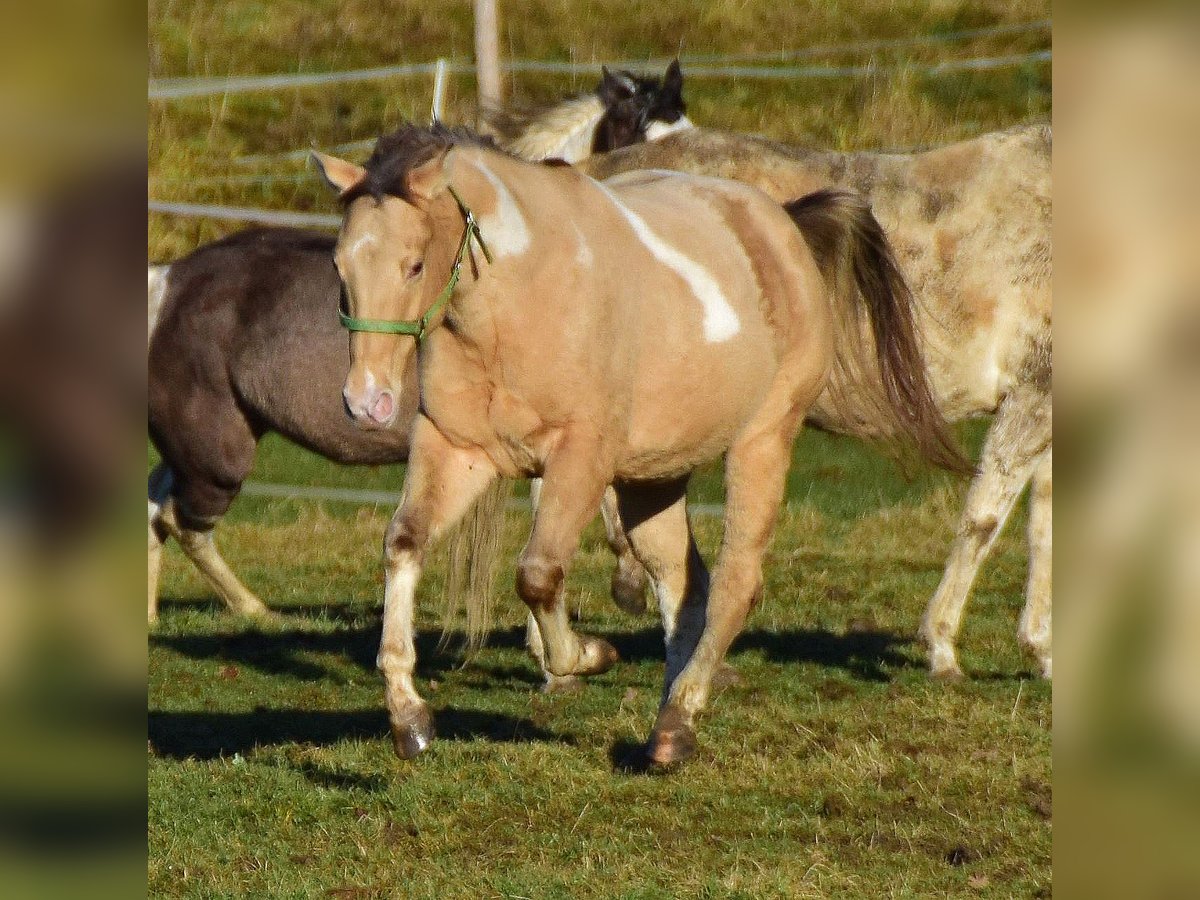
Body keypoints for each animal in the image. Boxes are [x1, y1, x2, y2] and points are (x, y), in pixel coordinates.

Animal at [316, 123, 964, 763]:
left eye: (414, 265)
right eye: (340, 267)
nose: (366, 401)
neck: (516, 301)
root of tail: (783, 227)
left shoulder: (581, 457)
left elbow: (538, 575)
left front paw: (588, 656)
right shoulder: (457, 450)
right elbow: (405, 543)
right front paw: (410, 717)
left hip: (762, 442)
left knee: (734, 584)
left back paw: (677, 720)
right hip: (653, 477)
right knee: (682, 583)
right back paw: (670, 718)